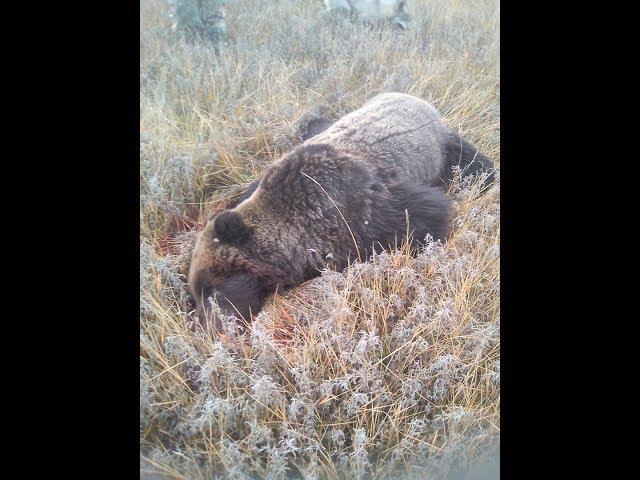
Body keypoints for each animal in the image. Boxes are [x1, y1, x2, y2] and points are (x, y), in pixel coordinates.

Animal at [186, 92, 496, 332]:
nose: (208, 330)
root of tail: (417, 99)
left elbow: (426, 215)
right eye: (196, 293)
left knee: (476, 165)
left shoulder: (360, 209)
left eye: (212, 289)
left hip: (447, 148)